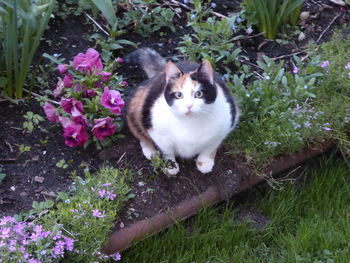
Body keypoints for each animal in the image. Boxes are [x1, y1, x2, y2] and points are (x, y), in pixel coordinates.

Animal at [124, 48, 239, 176]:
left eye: (199, 94)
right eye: (179, 95)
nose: (189, 106)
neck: (190, 123)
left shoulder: (223, 128)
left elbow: (210, 148)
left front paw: (204, 163)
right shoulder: (158, 134)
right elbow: (167, 151)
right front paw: (170, 166)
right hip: (136, 106)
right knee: (139, 132)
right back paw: (150, 151)